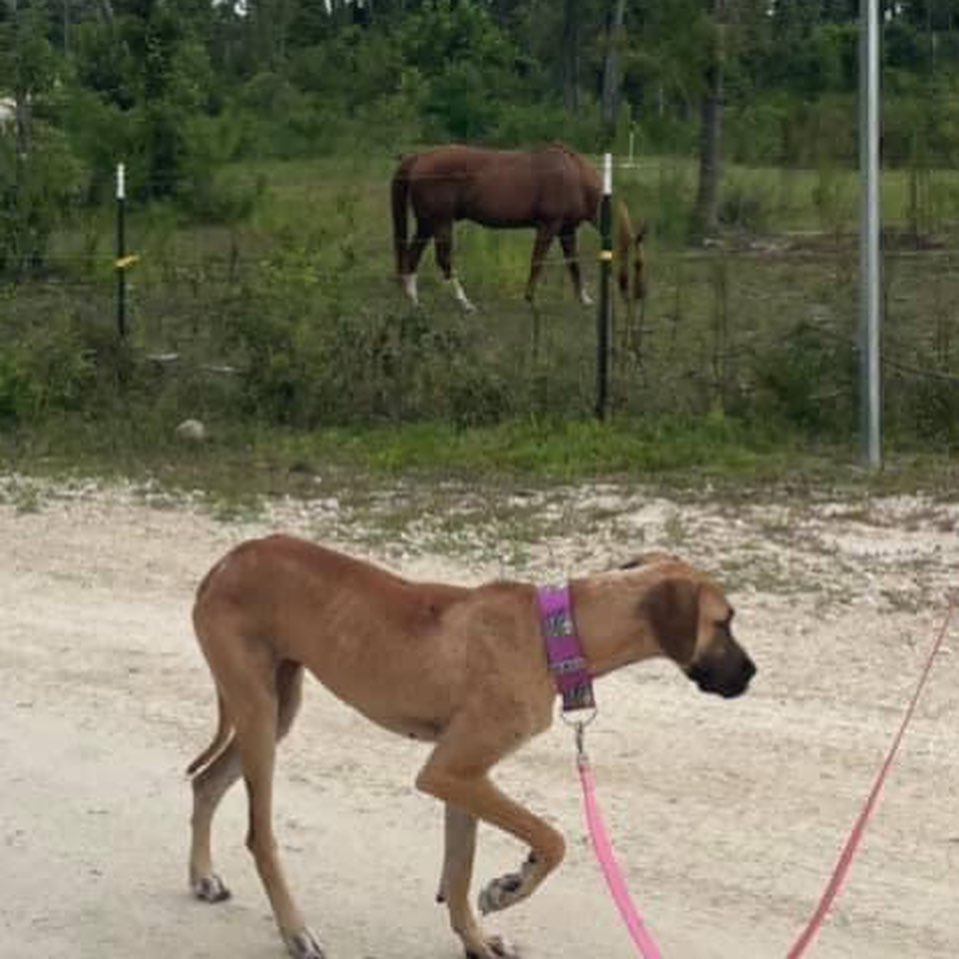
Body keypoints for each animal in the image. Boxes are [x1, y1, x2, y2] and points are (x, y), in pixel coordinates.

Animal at [188, 536, 756, 956]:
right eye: (724, 622)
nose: (752, 675)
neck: (555, 634)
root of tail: (224, 562)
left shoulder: (462, 779)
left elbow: (459, 871)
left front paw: (476, 940)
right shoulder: (449, 771)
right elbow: (552, 838)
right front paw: (510, 887)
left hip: (276, 708)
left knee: (205, 781)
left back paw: (203, 878)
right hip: (259, 712)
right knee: (259, 835)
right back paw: (294, 932)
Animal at [390, 142, 644, 312]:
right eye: (635, 261)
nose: (635, 295)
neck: (575, 177)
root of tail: (419, 157)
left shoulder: (566, 230)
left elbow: (574, 263)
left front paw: (584, 299)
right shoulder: (548, 226)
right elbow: (537, 262)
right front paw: (530, 298)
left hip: (427, 223)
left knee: (412, 256)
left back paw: (413, 301)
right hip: (441, 222)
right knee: (443, 260)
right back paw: (465, 303)